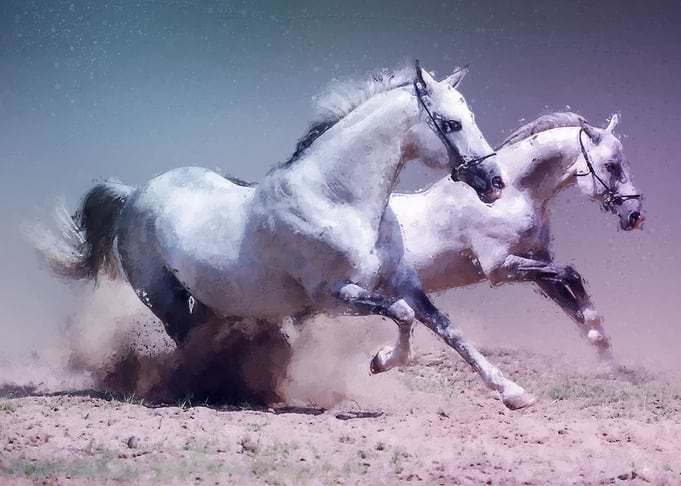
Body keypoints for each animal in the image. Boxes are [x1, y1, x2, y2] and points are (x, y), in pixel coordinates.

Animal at [38, 62, 538, 410]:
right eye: (451, 124)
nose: (495, 182)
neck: (337, 198)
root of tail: (134, 194)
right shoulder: (333, 295)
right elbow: (402, 315)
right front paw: (380, 361)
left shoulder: (403, 280)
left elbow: (447, 328)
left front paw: (514, 393)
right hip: (163, 297)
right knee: (185, 344)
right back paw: (203, 390)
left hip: (209, 300)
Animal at [375, 112, 644, 373]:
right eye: (611, 165)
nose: (635, 215)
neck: (512, 195)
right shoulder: (500, 268)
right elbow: (570, 274)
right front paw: (597, 333)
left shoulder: (537, 264)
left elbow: (572, 302)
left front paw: (605, 358)